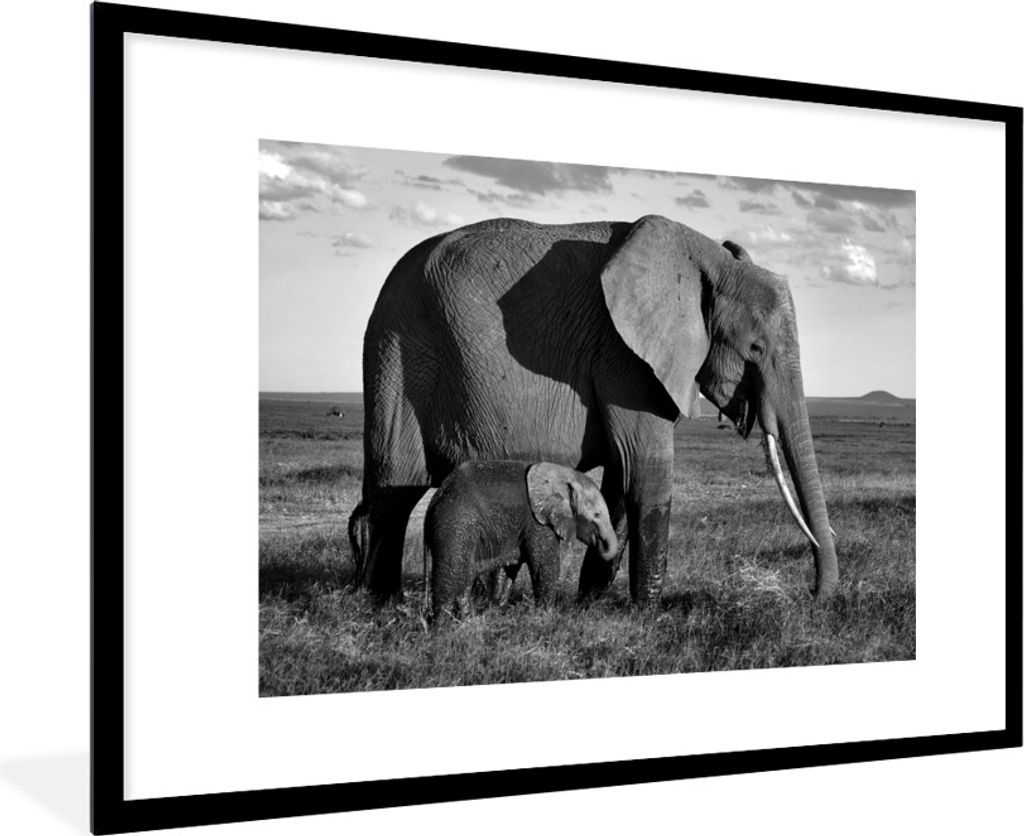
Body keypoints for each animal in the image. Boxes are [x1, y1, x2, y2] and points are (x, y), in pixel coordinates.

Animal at [424, 460, 618, 620]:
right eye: (597, 515)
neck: (563, 474)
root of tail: (435, 498)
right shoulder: (537, 522)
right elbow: (545, 566)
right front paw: (546, 617)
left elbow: (508, 570)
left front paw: (496, 611)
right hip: (455, 524)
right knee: (451, 574)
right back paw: (443, 629)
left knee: (464, 576)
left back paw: (467, 622)